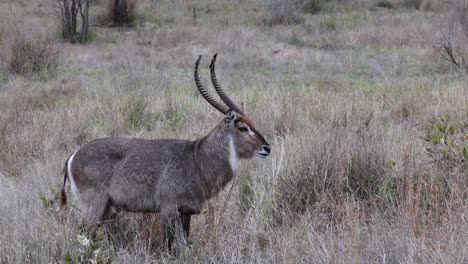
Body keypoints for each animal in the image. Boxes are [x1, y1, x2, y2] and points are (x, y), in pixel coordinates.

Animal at [60, 54, 270, 250]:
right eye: (243, 127)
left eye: (253, 123)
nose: (267, 147)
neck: (198, 158)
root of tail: (72, 156)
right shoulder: (168, 209)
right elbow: (167, 245)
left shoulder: (186, 211)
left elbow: (185, 242)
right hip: (94, 204)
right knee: (81, 232)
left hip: (108, 207)